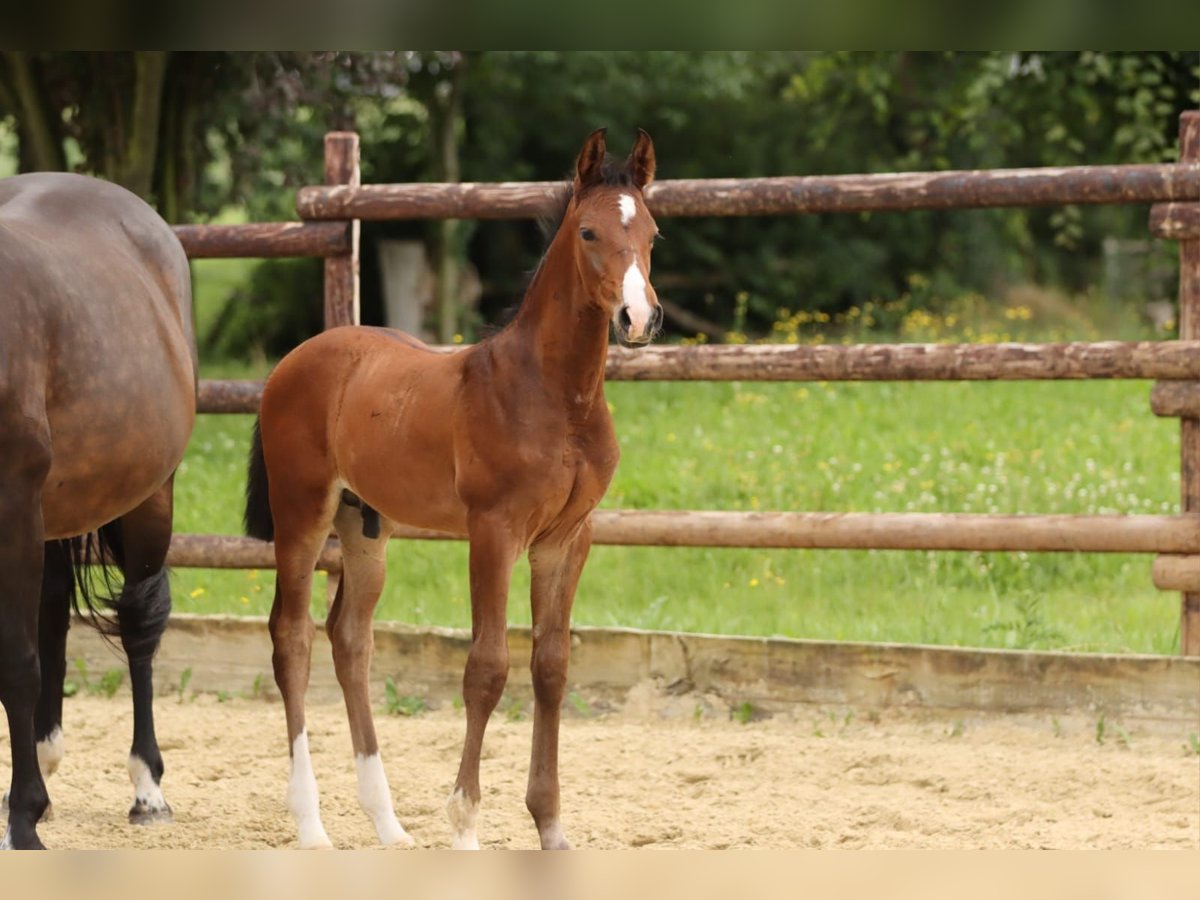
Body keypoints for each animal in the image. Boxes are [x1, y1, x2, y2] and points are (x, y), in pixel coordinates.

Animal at [0, 172, 195, 849]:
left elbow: (17, 660)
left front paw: (23, 821)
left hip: (149, 499)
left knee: (138, 624)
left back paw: (147, 787)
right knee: (54, 612)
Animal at [240, 128, 662, 854]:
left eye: (653, 234)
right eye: (588, 232)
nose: (639, 318)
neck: (554, 395)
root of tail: (290, 363)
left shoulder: (566, 540)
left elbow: (551, 667)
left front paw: (551, 826)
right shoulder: (493, 532)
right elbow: (486, 668)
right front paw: (465, 825)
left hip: (364, 526)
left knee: (350, 640)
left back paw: (388, 824)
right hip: (302, 515)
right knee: (291, 637)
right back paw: (312, 826)